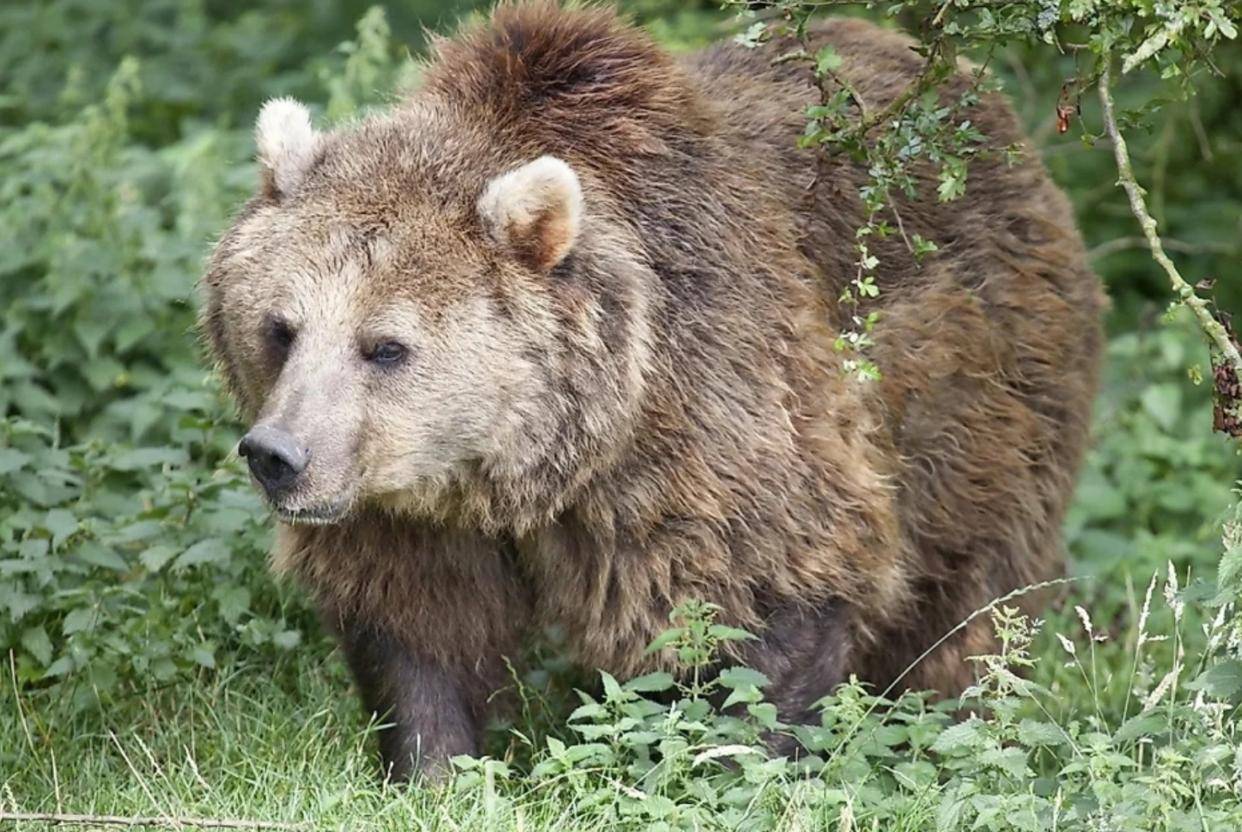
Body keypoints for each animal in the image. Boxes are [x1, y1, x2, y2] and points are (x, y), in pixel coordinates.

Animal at [201, 1, 1107, 784]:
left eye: (385, 345)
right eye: (280, 326)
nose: (277, 454)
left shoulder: (710, 417)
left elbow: (767, 593)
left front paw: (733, 765)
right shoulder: (405, 504)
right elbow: (418, 623)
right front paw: (435, 769)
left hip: (982, 403)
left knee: (971, 597)